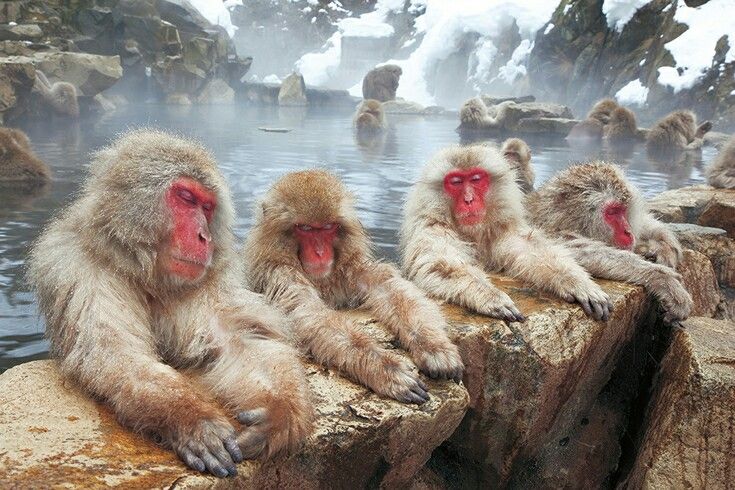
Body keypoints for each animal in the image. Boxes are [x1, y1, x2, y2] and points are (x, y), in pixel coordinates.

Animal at [28, 130, 313, 477]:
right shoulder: (76, 265)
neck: (144, 272)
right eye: (186, 198)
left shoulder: (207, 279)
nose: (204, 236)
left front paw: (279, 414)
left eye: (207, 207)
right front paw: (192, 420)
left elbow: (239, 340)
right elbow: (115, 354)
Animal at [244, 170, 464, 404]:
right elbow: (306, 313)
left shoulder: (353, 267)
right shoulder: (280, 275)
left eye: (328, 227)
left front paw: (435, 347)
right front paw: (385, 368)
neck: (321, 279)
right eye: (304, 228)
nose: (320, 252)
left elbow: (391, 289)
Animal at [400, 144, 614, 322]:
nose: (469, 200)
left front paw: (576, 282)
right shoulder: (433, 229)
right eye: (456, 182)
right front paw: (490, 296)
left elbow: (529, 250)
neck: (472, 232)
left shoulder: (500, 228)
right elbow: (439, 266)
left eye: (476, 179)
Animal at [526, 162, 693, 323]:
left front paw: (664, 249)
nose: (628, 231)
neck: (559, 221)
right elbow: (570, 251)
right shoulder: (553, 232)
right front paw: (662, 279)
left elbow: (645, 224)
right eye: (612, 212)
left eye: (623, 210)